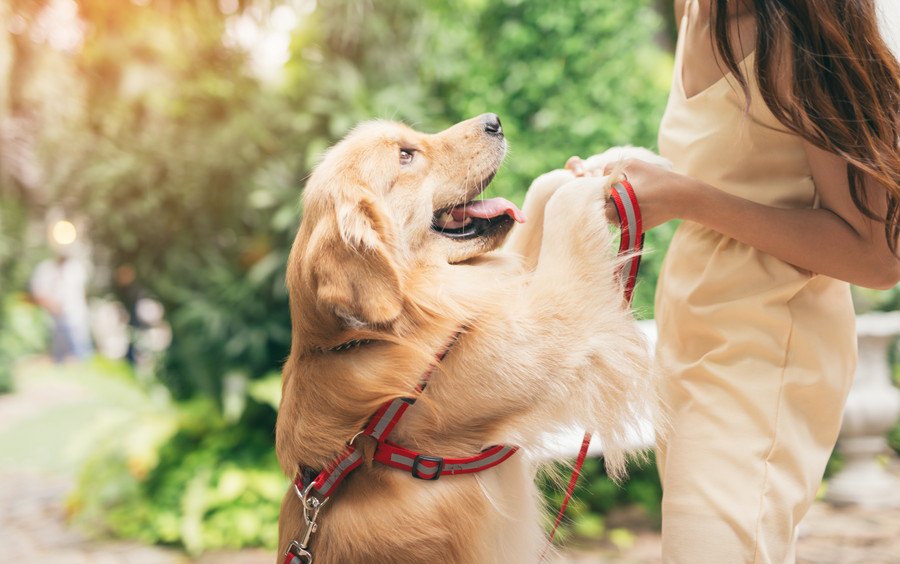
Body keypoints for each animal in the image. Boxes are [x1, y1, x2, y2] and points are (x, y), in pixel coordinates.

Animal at [274, 114, 652, 564]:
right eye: (405, 155)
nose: (494, 121)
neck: (372, 336)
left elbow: (538, 208)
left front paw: (594, 165)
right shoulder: (546, 333)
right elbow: (564, 217)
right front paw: (590, 183)